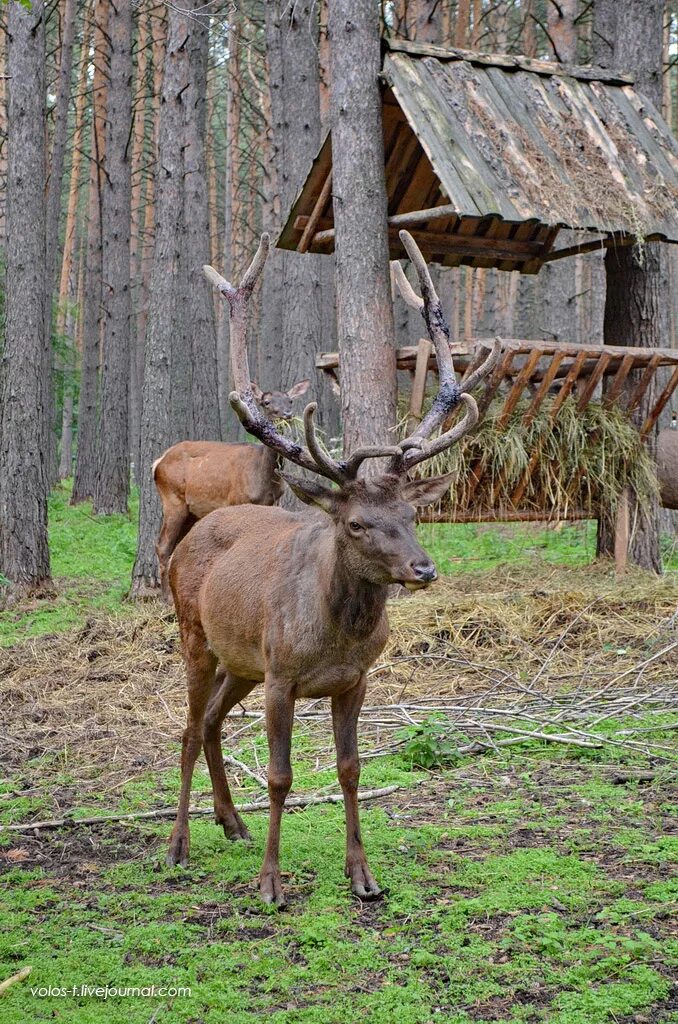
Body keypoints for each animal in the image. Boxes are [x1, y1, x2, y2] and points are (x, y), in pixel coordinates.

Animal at [151, 378, 311, 598]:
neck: (263, 479)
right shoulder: (237, 499)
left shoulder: (272, 502)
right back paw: (165, 597)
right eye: (266, 402)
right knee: (163, 545)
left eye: (290, 400)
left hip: (190, 511)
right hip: (173, 498)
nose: (286, 414)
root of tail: (158, 462)